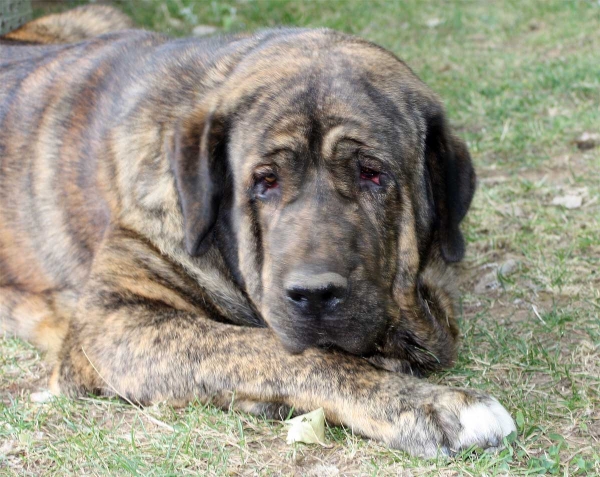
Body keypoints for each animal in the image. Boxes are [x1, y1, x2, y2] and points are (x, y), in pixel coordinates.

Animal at [1, 6, 516, 454]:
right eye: (265, 180)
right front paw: (430, 405)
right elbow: (272, 349)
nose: (314, 294)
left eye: (372, 173)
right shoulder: (110, 321)